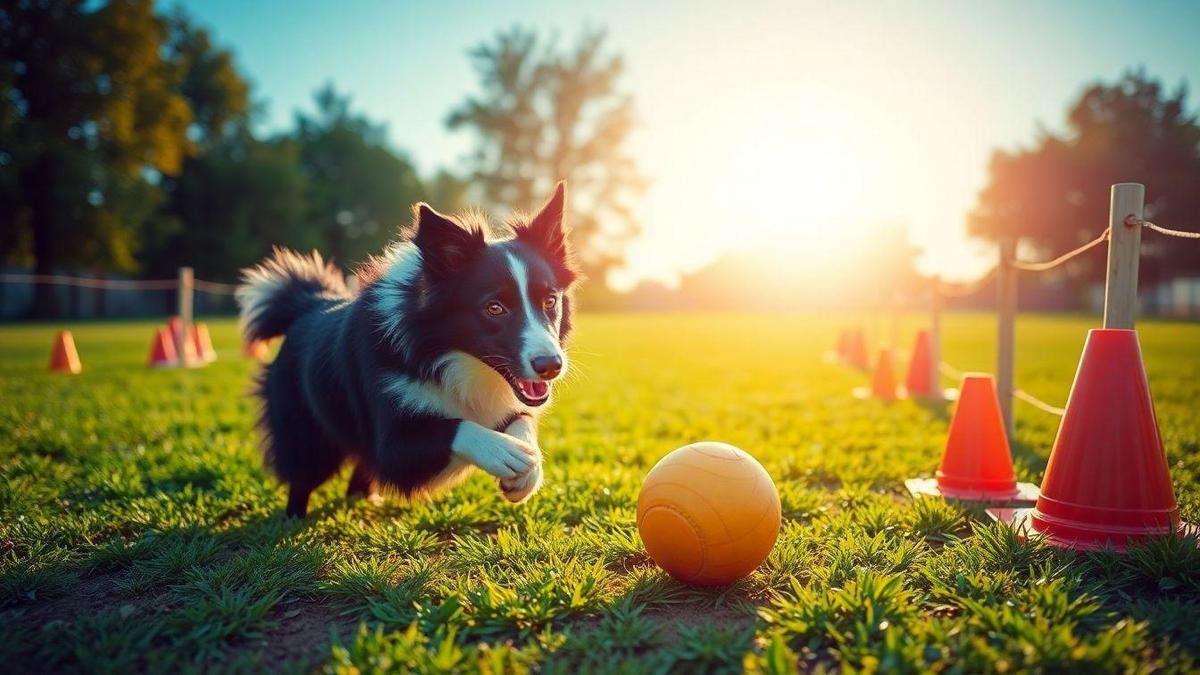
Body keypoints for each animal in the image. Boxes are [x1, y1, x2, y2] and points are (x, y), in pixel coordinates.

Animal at [236, 181, 578, 511]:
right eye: (494, 308)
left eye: (550, 301)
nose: (551, 366)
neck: (450, 357)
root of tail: (310, 303)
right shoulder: (389, 444)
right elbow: (455, 426)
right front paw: (507, 452)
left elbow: (522, 419)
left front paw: (529, 469)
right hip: (303, 432)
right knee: (303, 476)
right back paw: (294, 517)